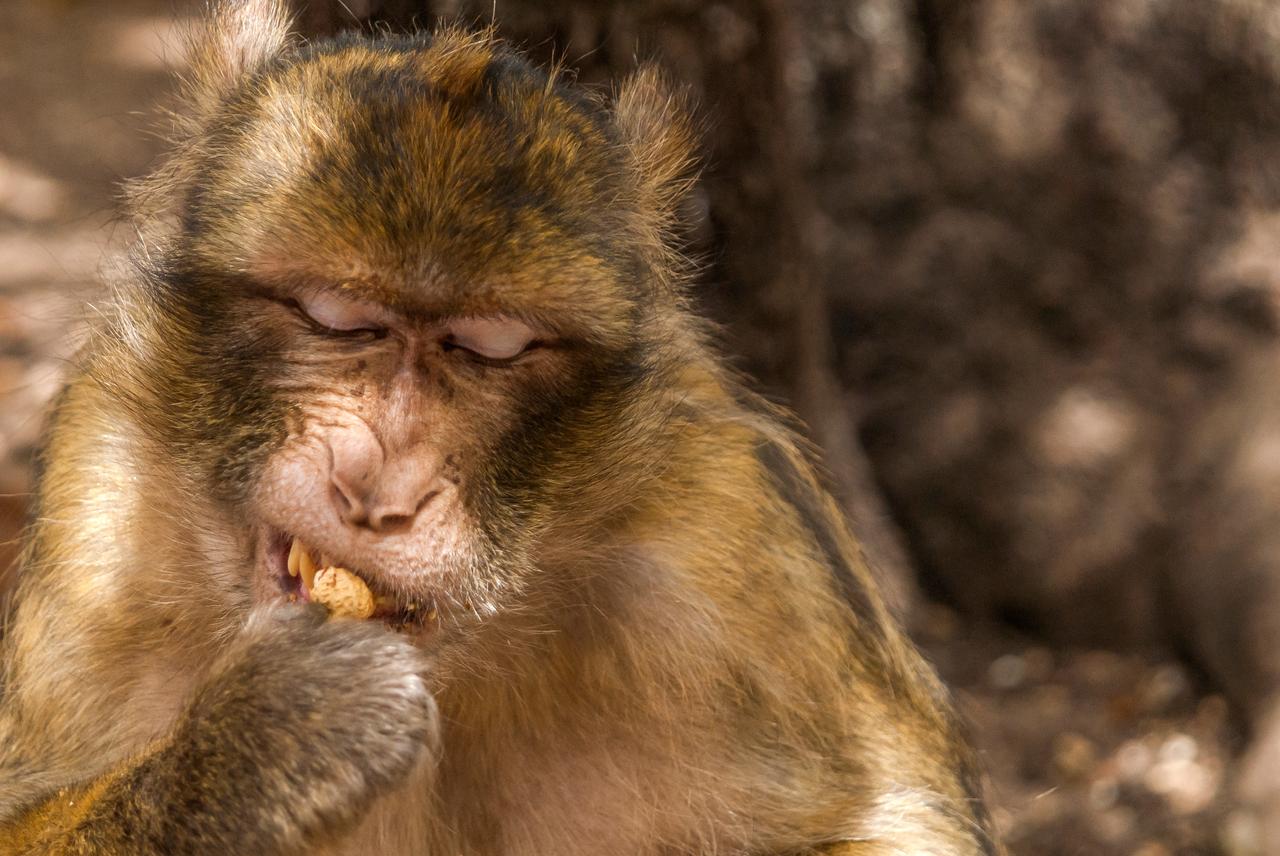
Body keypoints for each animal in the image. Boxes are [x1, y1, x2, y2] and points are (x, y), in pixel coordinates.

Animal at [0, 2, 1000, 854]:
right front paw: (259, 745)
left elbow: (894, 820)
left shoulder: (735, 547)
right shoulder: (105, 503)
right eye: (335, 318)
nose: (379, 489)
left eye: (492, 346)